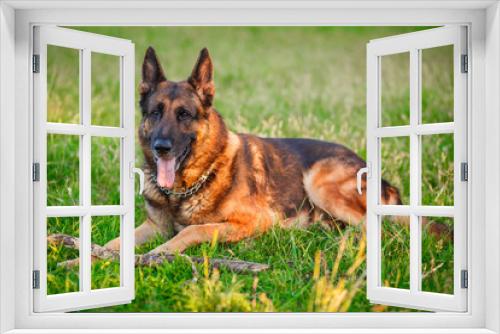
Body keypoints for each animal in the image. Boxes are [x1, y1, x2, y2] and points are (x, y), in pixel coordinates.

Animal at [104, 47, 402, 256]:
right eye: (155, 112)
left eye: (184, 114)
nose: (161, 147)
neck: (186, 187)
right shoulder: (154, 226)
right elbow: (116, 241)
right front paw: (94, 257)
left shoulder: (255, 220)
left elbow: (195, 230)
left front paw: (159, 253)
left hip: (319, 182)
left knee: (377, 227)